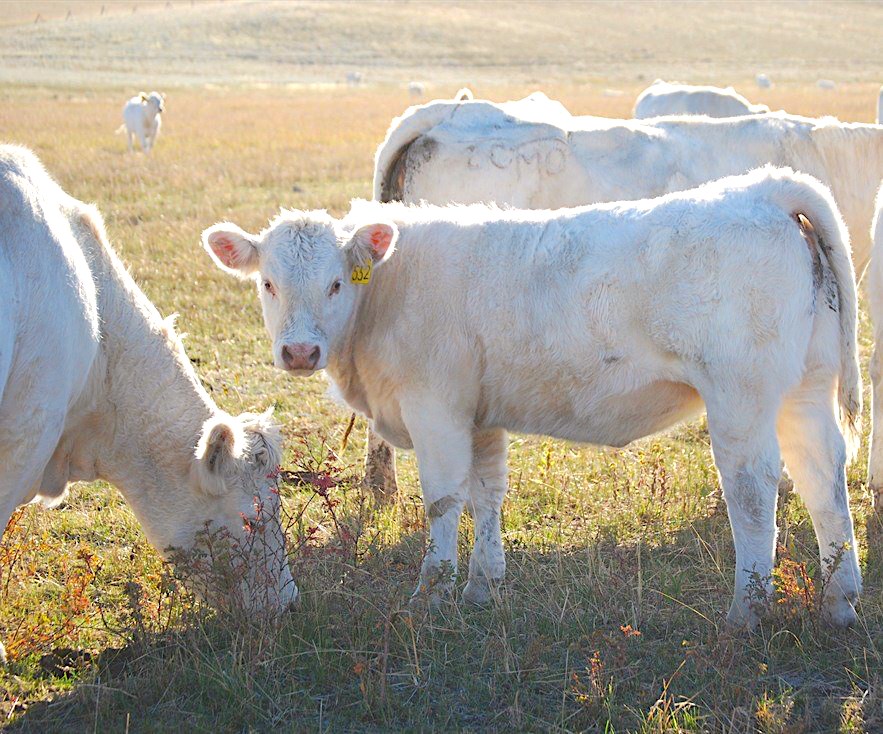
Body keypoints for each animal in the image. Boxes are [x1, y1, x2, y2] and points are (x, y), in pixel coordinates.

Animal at [204, 168, 860, 632]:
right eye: (269, 283)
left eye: (336, 283)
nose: (299, 352)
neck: (390, 290)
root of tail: (761, 187)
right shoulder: (480, 415)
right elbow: (487, 494)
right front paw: (482, 587)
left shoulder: (435, 407)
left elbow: (444, 500)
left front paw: (430, 596)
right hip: (805, 389)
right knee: (822, 476)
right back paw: (840, 602)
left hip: (741, 397)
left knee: (753, 489)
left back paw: (746, 613)